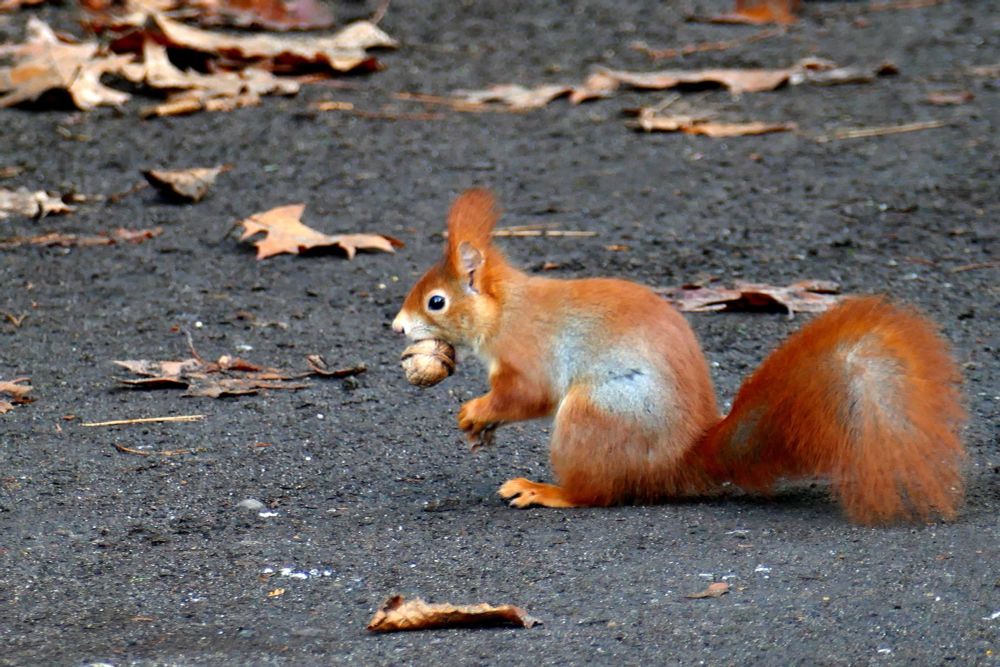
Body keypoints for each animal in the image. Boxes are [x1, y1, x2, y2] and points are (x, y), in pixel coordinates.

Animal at [391, 188, 967, 524]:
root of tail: (681, 461)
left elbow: (526, 394)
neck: (505, 309)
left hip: (596, 414)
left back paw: (545, 491)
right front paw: (478, 426)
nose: (395, 325)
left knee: (596, 493)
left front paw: (474, 410)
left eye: (436, 301)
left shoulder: (527, 351)